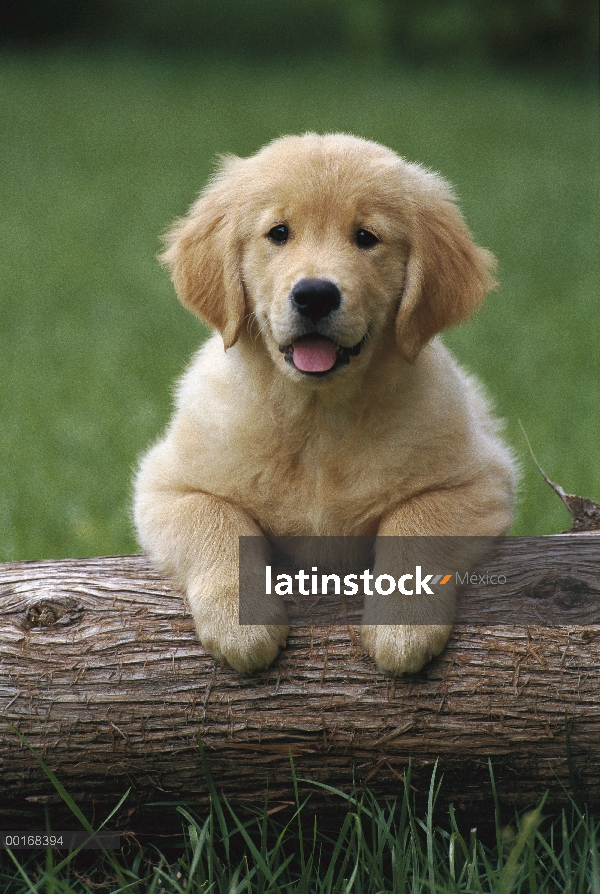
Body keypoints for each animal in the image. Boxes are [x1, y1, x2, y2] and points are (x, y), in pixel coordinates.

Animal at [135, 133, 516, 676]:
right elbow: (217, 520)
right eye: (278, 233)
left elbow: (417, 519)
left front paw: (402, 628)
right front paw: (240, 624)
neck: (316, 422)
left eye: (366, 237)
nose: (314, 295)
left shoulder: (478, 480)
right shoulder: (168, 485)